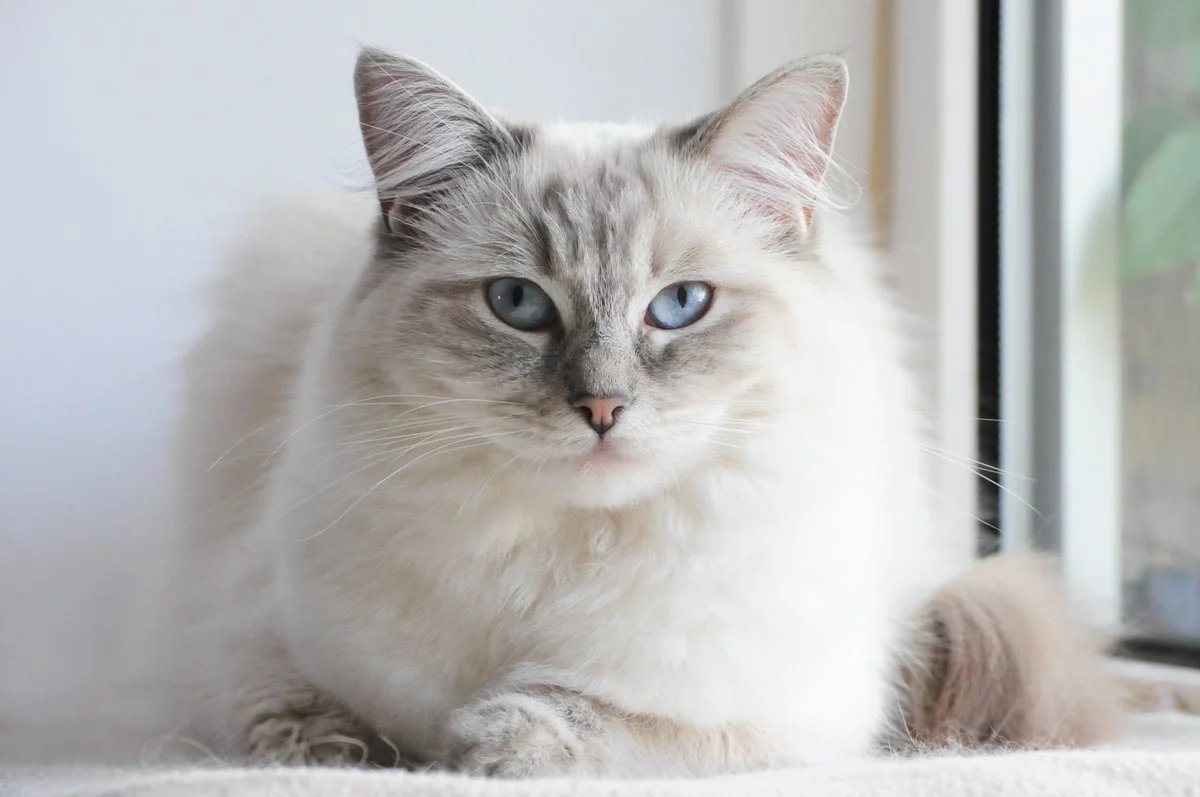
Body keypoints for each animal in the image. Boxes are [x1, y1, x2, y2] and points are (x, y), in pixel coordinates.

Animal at [164, 46, 1118, 772]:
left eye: (681, 305)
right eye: (517, 302)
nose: (601, 406)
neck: (560, 556)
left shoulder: (783, 716)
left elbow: (603, 716)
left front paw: (487, 739)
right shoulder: (248, 632)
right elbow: (287, 714)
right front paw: (349, 749)